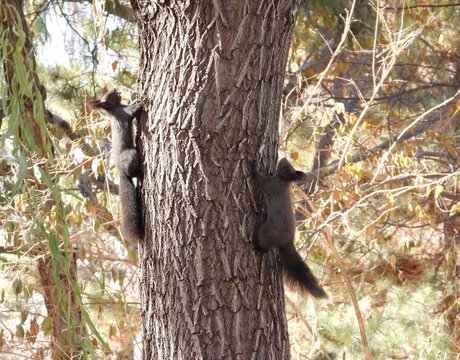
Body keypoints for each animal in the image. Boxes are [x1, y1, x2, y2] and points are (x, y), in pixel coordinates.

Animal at [88, 88, 142, 249]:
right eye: (110, 96)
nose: (115, 90)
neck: (114, 109)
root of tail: (120, 170)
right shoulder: (125, 112)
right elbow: (134, 109)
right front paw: (141, 99)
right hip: (130, 155)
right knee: (131, 171)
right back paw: (139, 173)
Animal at [250, 158, 326, 298]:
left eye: (285, 167)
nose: (283, 158)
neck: (283, 181)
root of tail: (287, 242)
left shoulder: (271, 184)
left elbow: (260, 180)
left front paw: (253, 167)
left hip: (266, 232)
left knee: (265, 246)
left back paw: (257, 247)